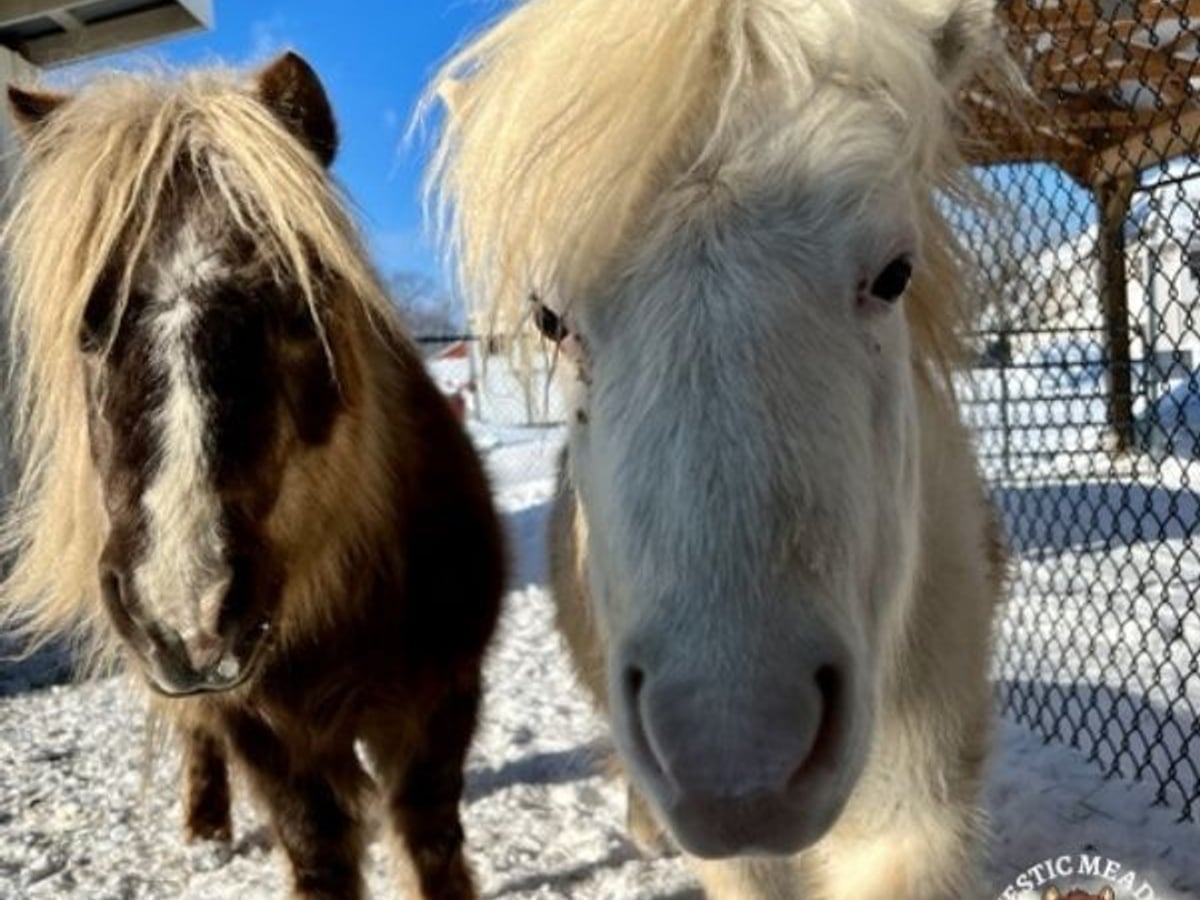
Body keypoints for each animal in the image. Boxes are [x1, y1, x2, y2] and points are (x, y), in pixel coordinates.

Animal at [1, 54, 504, 900]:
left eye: (299, 305)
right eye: (87, 330)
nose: (186, 609)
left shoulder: (439, 697)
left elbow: (429, 836)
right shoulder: (266, 734)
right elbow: (315, 847)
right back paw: (205, 828)